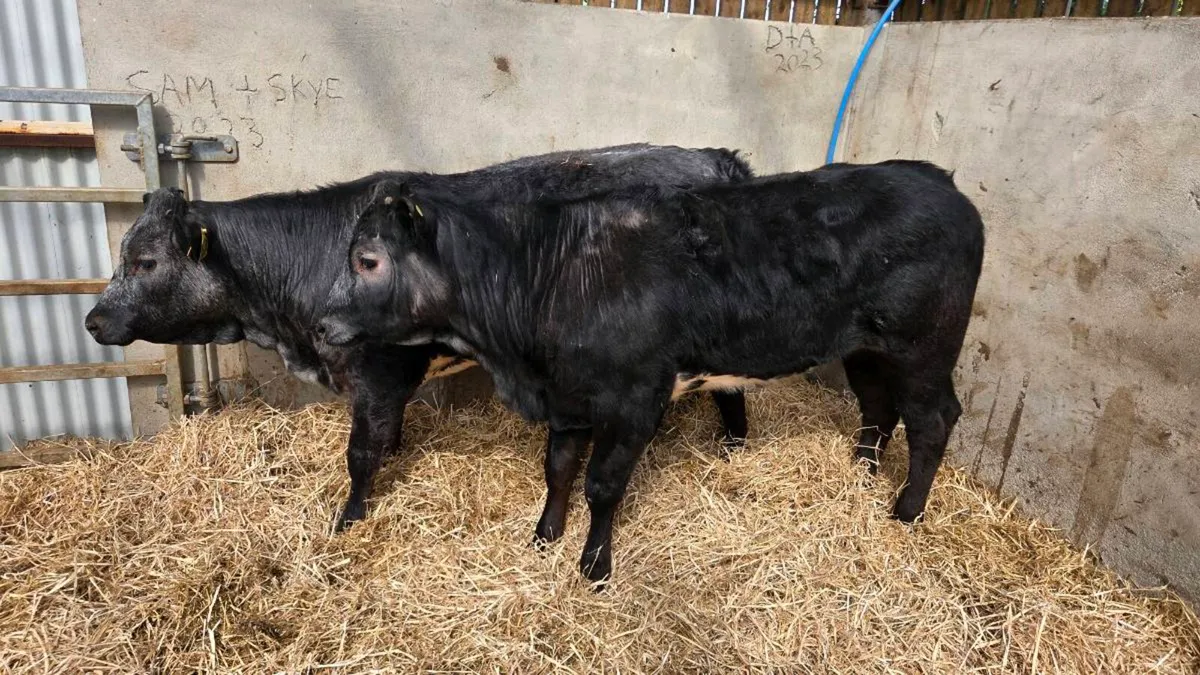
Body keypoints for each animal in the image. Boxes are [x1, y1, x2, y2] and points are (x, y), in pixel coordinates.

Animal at [84, 144, 754, 531]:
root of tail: (715, 156)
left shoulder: (375, 373)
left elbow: (360, 453)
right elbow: (388, 438)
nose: (92, 320)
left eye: (144, 261)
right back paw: (732, 449)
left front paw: (349, 518)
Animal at [317, 160, 986, 585]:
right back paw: (860, 474)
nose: (322, 326)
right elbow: (559, 467)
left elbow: (603, 484)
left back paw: (905, 511)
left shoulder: (637, 396)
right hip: (866, 347)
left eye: (367, 260)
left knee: (932, 419)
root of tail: (939, 182)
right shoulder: (567, 395)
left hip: (923, 349)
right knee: (877, 406)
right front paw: (545, 534)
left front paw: (594, 567)